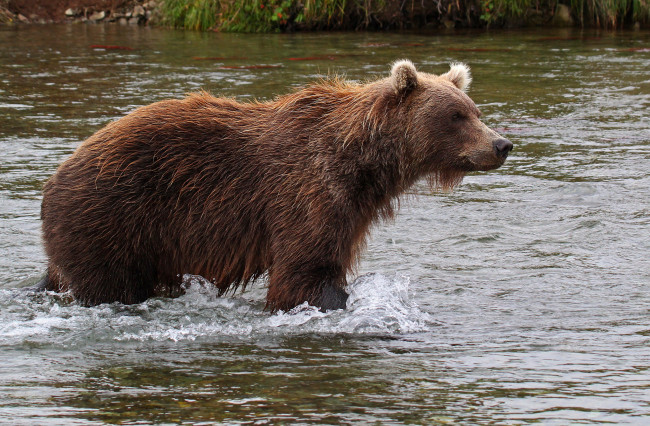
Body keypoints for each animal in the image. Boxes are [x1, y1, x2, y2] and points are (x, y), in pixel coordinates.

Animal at [39, 60, 512, 312]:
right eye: (456, 116)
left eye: (474, 110)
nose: (502, 144)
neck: (363, 165)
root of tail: (57, 173)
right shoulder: (308, 193)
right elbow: (303, 273)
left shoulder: (351, 210)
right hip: (113, 217)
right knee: (111, 284)